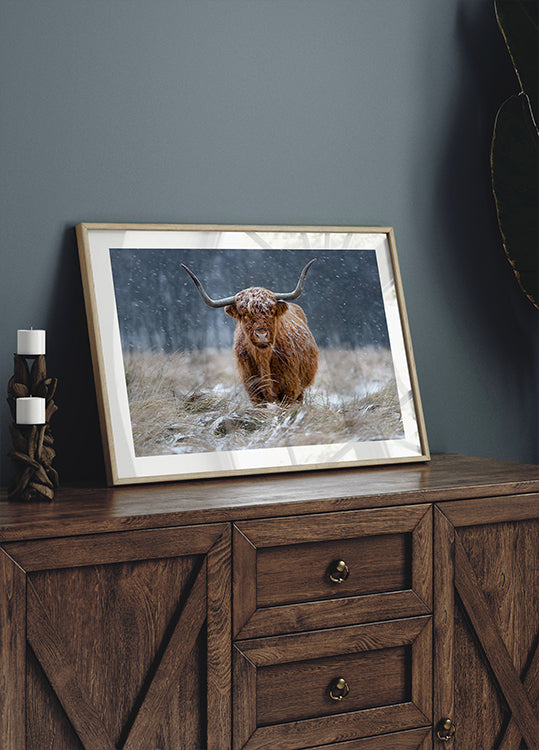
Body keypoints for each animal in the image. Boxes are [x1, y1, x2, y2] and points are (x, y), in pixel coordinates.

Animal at [181, 259, 319, 405]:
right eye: (244, 314)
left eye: (271, 312)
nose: (261, 335)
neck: (264, 358)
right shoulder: (253, 390)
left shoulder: (290, 389)